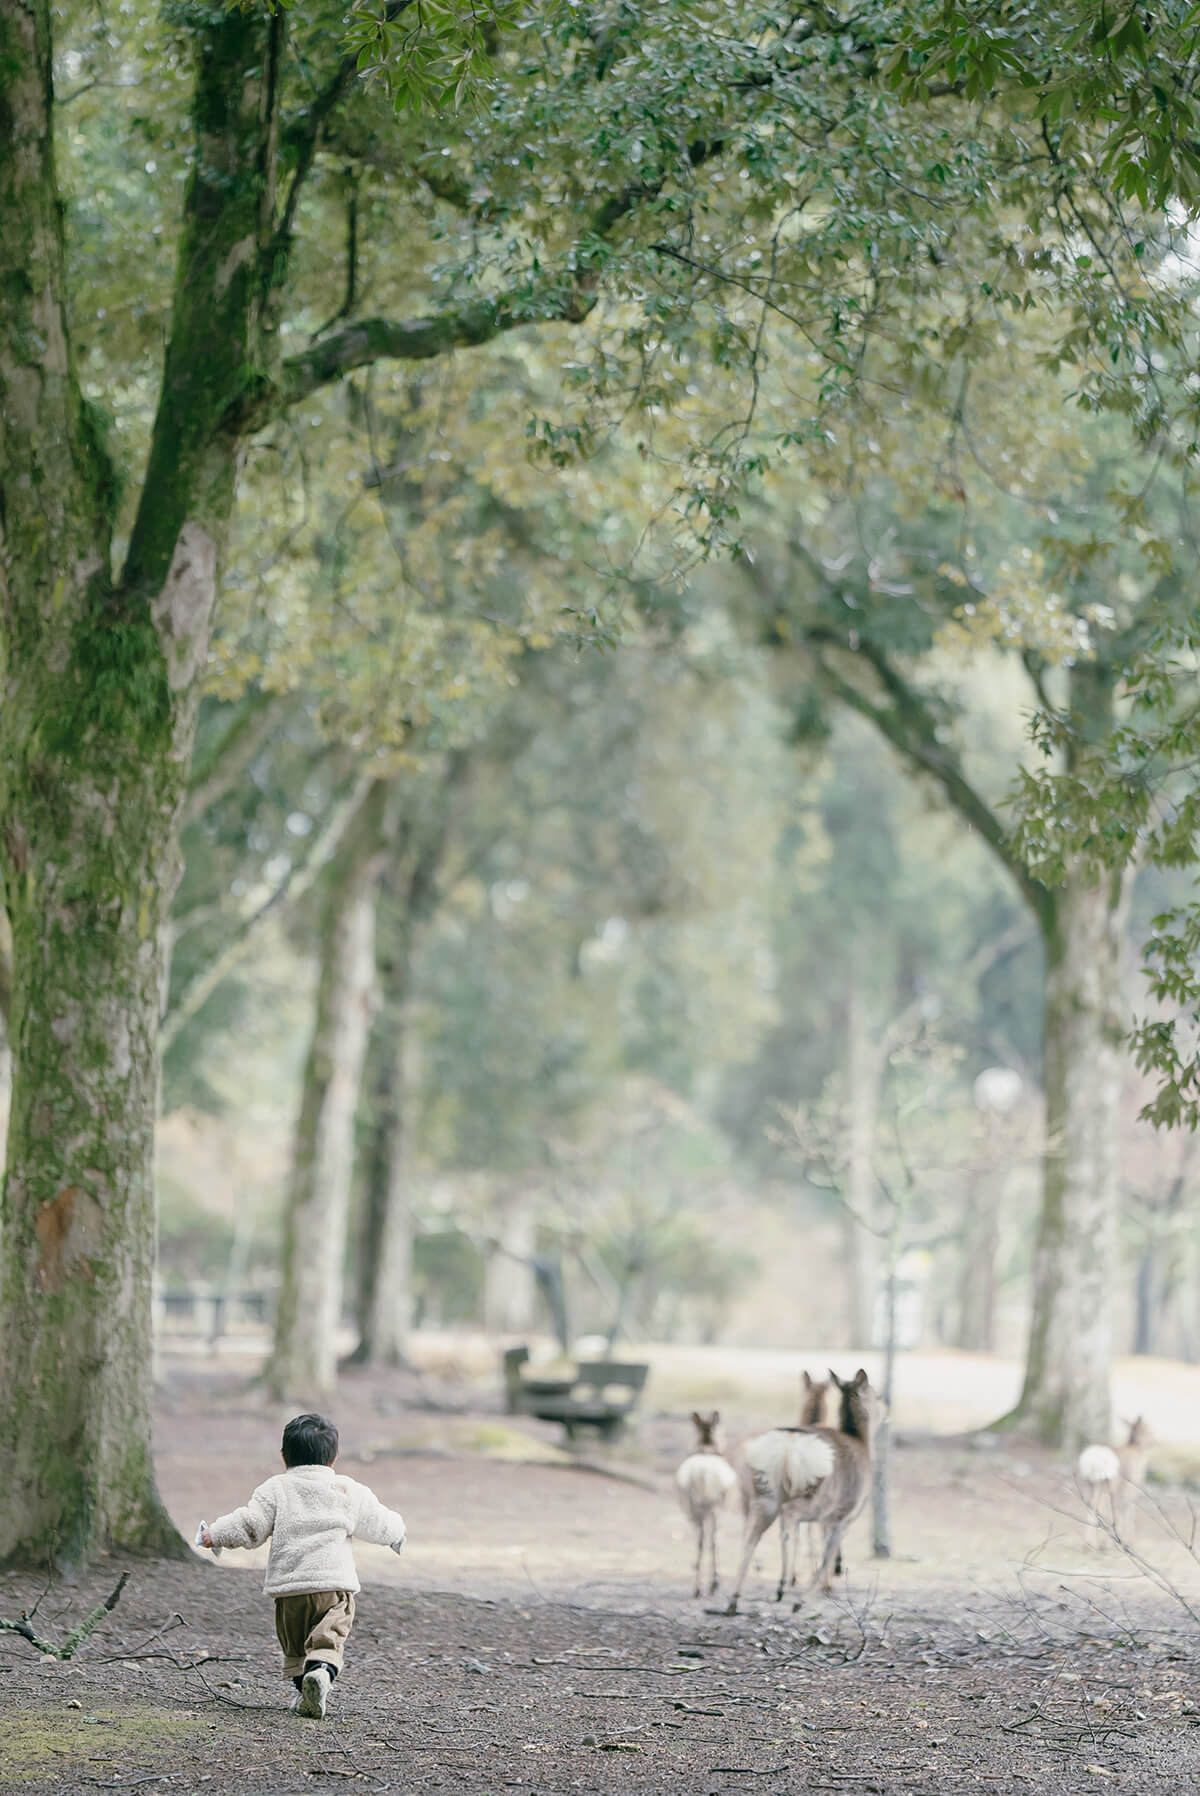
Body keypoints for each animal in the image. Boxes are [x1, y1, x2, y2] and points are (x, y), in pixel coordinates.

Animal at [675, 1408, 740, 1594]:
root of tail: (703, 1474)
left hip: (695, 1508)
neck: (705, 1447)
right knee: (712, 1540)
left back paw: (699, 1586)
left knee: (701, 1539)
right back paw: (712, 1584)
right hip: (712, 1507)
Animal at [722, 1357, 880, 1616]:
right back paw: (782, 1588)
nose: (886, 1410)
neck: (862, 1445)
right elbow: (827, 1553)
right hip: (814, 1495)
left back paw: (734, 1600)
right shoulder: (843, 1515)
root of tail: (789, 1444)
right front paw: (812, 1594)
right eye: (876, 1394)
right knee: (789, 1520)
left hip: (763, 1493)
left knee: (750, 1537)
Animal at [1077, 1415, 1149, 1544]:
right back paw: (1093, 1543)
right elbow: (1128, 1510)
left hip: (1088, 1485)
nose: (1152, 1440)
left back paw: (1089, 1542)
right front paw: (1127, 1540)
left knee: (1091, 1507)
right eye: (1146, 1428)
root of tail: (1090, 1461)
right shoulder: (1131, 1488)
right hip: (1104, 1486)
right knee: (1098, 1507)